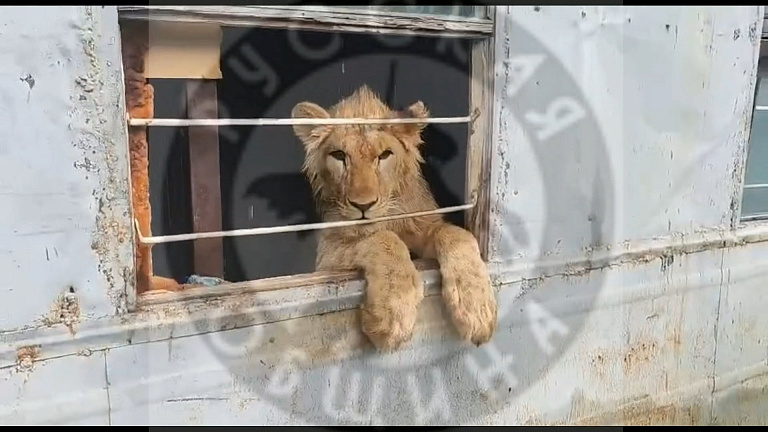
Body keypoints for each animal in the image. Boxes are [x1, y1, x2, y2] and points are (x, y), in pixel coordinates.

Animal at [291, 85, 497, 352]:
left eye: (384, 155)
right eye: (339, 155)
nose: (363, 205)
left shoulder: (422, 225)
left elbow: (455, 233)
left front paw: (476, 305)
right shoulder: (327, 257)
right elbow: (383, 239)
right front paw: (393, 313)